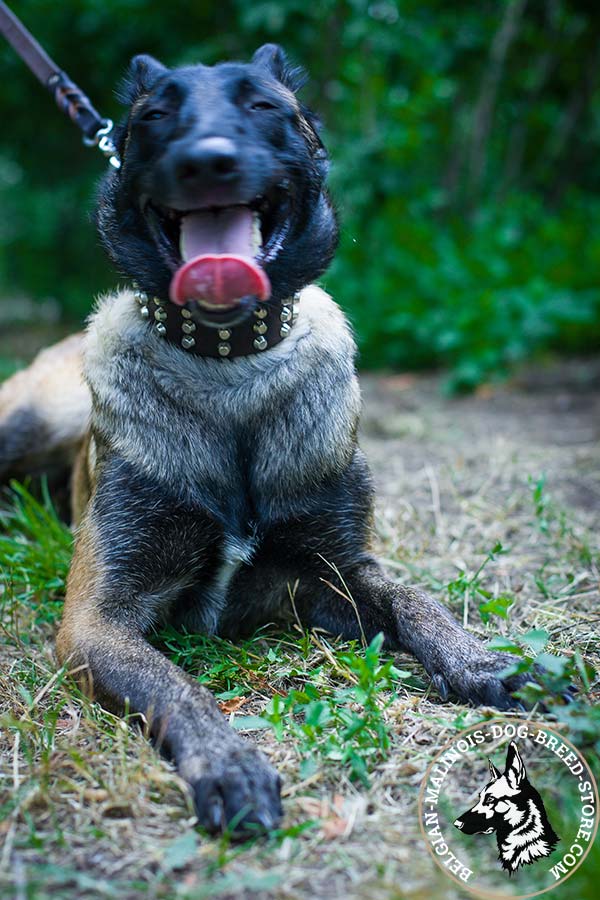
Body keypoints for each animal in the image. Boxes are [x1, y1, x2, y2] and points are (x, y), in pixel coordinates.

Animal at [0, 45, 540, 832]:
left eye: (261, 106)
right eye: (155, 115)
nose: (207, 163)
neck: (228, 364)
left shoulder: (331, 572)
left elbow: (414, 597)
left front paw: (481, 661)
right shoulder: (97, 620)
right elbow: (175, 685)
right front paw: (229, 764)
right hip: (28, 423)